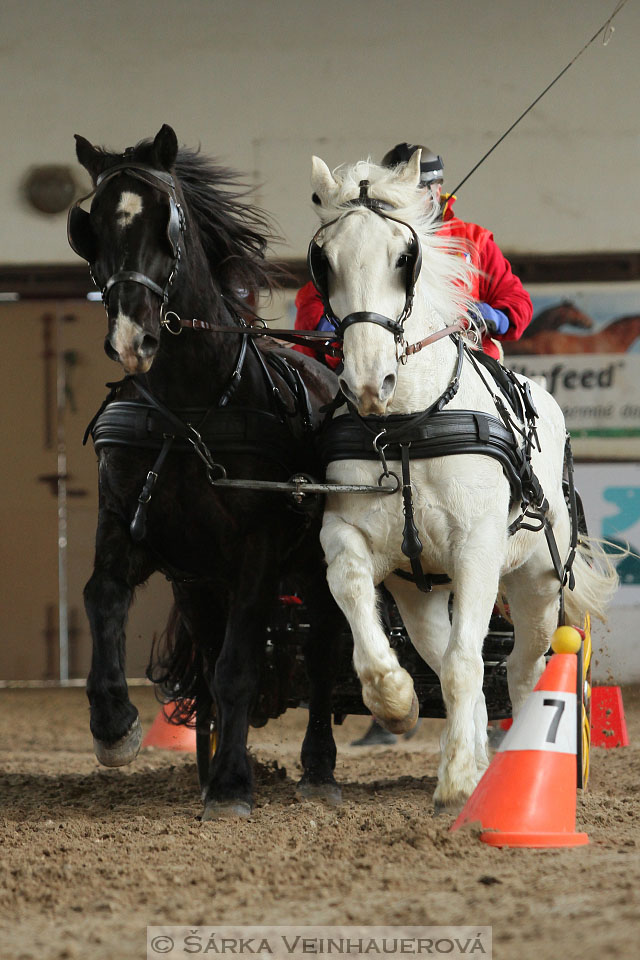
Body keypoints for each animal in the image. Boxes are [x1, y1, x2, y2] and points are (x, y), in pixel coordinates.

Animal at [67, 125, 342, 816]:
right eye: (91, 225)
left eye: (169, 220)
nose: (131, 338)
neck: (189, 410)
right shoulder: (133, 528)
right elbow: (101, 597)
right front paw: (115, 726)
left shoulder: (258, 551)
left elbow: (239, 667)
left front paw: (233, 784)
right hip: (197, 584)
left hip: (319, 565)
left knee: (325, 654)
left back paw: (318, 770)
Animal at [312, 150, 616, 808]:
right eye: (323, 260)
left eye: (405, 256)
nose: (370, 381)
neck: (407, 426)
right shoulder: (349, 535)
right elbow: (362, 605)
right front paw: (395, 701)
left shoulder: (477, 547)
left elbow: (466, 665)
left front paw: (455, 782)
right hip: (421, 590)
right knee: (452, 654)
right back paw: (474, 754)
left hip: (537, 580)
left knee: (523, 667)